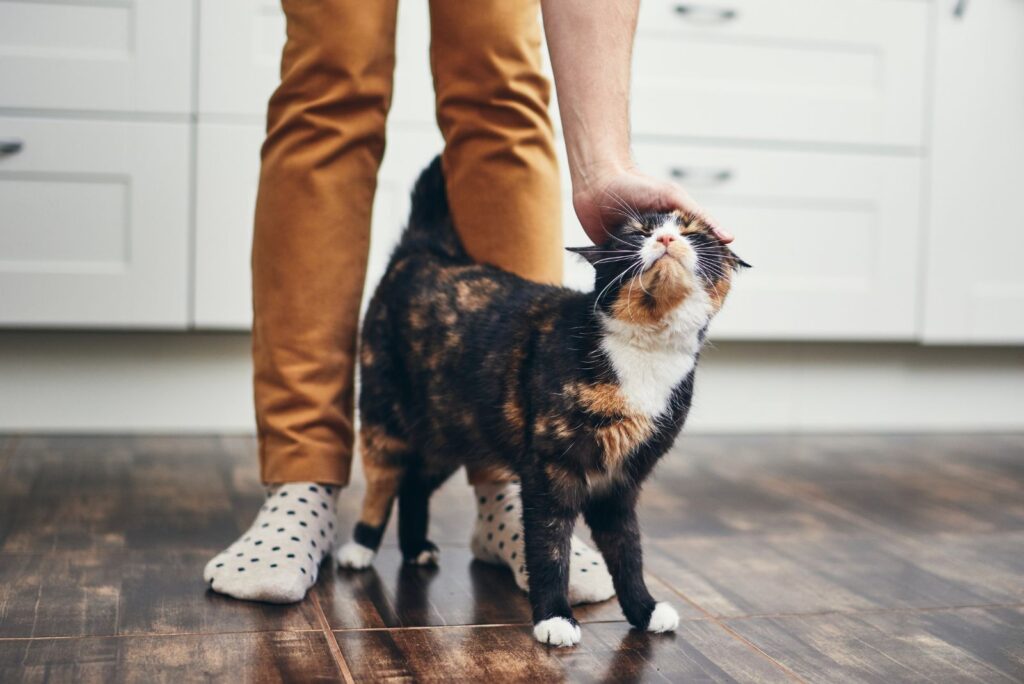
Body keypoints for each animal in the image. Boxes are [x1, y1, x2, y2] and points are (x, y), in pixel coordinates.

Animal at [335, 154, 745, 647]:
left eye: (692, 232)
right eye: (637, 232)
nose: (665, 238)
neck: (645, 352)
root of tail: (424, 251)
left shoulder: (621, 482)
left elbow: (628, 551)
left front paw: (644, 610)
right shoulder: (550, 469)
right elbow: (549, 547)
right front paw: (554, 617)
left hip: (452, 431)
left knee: (415, 484)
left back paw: (415, 548)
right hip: (386, 415)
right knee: (383, 481)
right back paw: (360, 546)